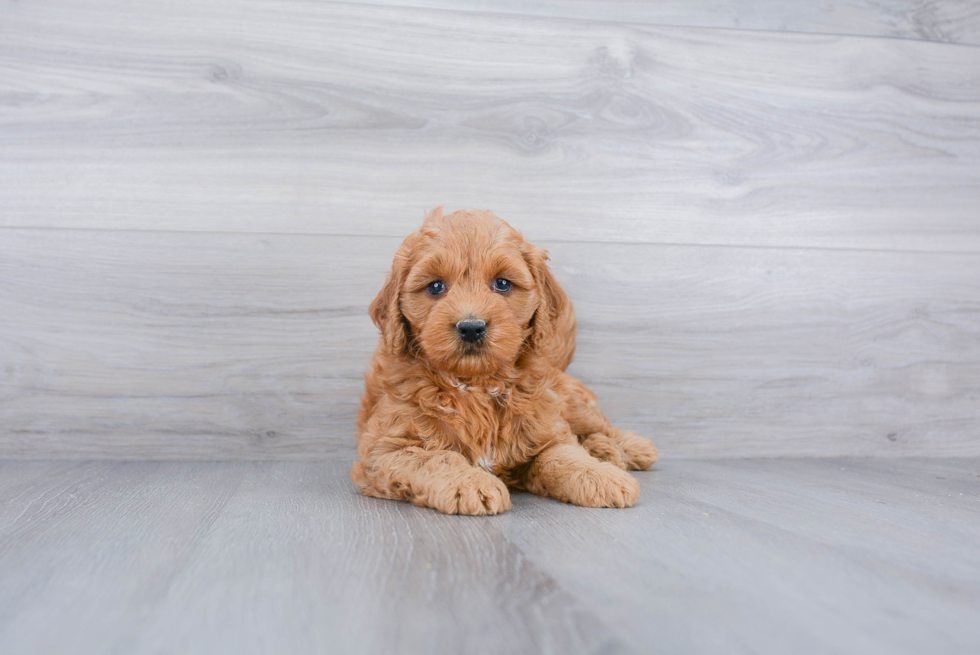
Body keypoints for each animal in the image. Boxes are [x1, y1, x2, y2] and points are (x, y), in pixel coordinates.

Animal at [352, 208, 660, 516]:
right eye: (435, 286)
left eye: (502, 283)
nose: (471, 327)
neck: (476, 384)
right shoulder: (385, 449)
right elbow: (435, 458)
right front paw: (471, 483)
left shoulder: (546, 429)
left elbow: (565, 455)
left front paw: (599, 476)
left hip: (570, 401)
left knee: (599, 426)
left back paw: (629, 448)